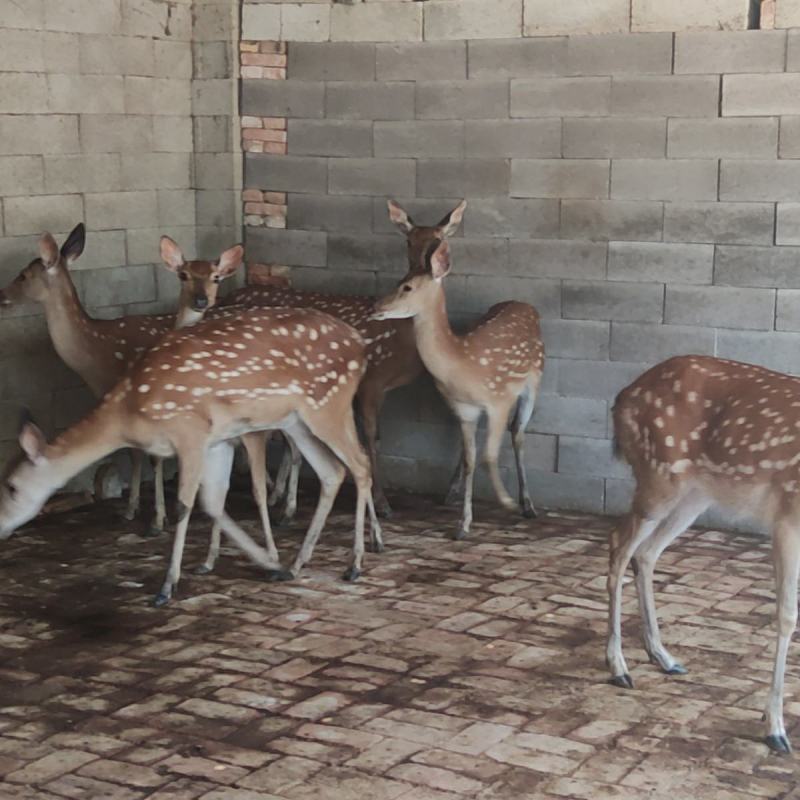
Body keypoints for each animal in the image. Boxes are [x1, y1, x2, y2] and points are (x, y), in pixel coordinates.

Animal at [0, 225, 243, 535]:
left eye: (23, 275)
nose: (1, 295)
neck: (94, 354)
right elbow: (133, 452)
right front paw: (132, 507)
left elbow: (148, 455)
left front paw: (156, 519)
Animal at [0, 306, 381, 607]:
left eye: (12, 486)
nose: (2, 526)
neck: (127, 413)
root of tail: (360, 346)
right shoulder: (217, 441)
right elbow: (213, 501)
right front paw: (262, 563)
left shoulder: (189, 431)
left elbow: (186, 505)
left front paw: (167, 587)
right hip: (297, 419)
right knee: (332, 471)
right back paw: (297, 564)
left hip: (327, 402)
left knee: (360, 464)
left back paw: (354, 564)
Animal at [372, 238, 544, 540]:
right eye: (399, 280)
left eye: (407, 286)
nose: (376, 306)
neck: (463, 365)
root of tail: (526, 304)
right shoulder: (464, 409)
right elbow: (471, 459)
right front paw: (463, 524)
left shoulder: (498, 400)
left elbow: (488, 455)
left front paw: (507, 501)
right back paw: (453, 492)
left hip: (534, 381)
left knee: (518, 432)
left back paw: (528, 504)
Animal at [609, 354, 800, 754]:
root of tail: (622, 397)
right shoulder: (788, 514)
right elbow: (787, 615)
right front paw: (774, 726)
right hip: (658, 477)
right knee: (618, 543)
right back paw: (618, 667)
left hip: (695, 495)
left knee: (646, 553)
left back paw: (663, 657)